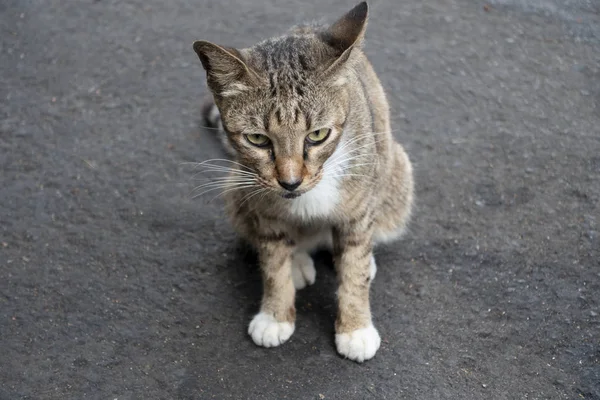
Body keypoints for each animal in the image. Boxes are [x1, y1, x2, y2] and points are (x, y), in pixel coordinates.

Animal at [192, 0, 412, 362]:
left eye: (318, 135)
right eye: (257, 139)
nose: (290, 182)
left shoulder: (359, 205)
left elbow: (354, 265)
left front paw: (355, 327)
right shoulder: (261, 204)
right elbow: (273, 263)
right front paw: (275, 316)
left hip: (397, 176)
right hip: (236, 193)